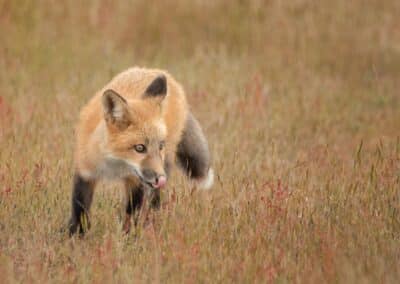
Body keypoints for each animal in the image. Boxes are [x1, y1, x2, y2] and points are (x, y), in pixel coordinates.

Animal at [69, 66, 212, 235]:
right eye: (140, 148)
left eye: (160, 146)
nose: (160, 179)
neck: (114, 164)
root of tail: (159, 72)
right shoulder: (85, 172)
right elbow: (80, 209)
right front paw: (75, 235)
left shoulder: (135, 182)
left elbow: (131, 213)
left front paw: (128, 236)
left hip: (165, 164)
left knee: (154, 201)